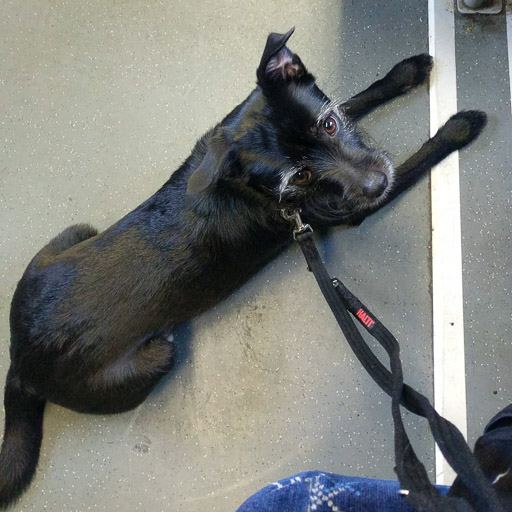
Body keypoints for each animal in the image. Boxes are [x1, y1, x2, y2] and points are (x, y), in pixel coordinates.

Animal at [0, 29, 488, 508]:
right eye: (301, 176)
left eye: (328, 126)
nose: (374, 181)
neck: (264, 190)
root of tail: (21, 359)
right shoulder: (352, 209)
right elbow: (414, 163)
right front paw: (458, 129)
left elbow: (357, 97)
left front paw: (405, 73)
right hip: (155, 357)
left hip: (74, 233)